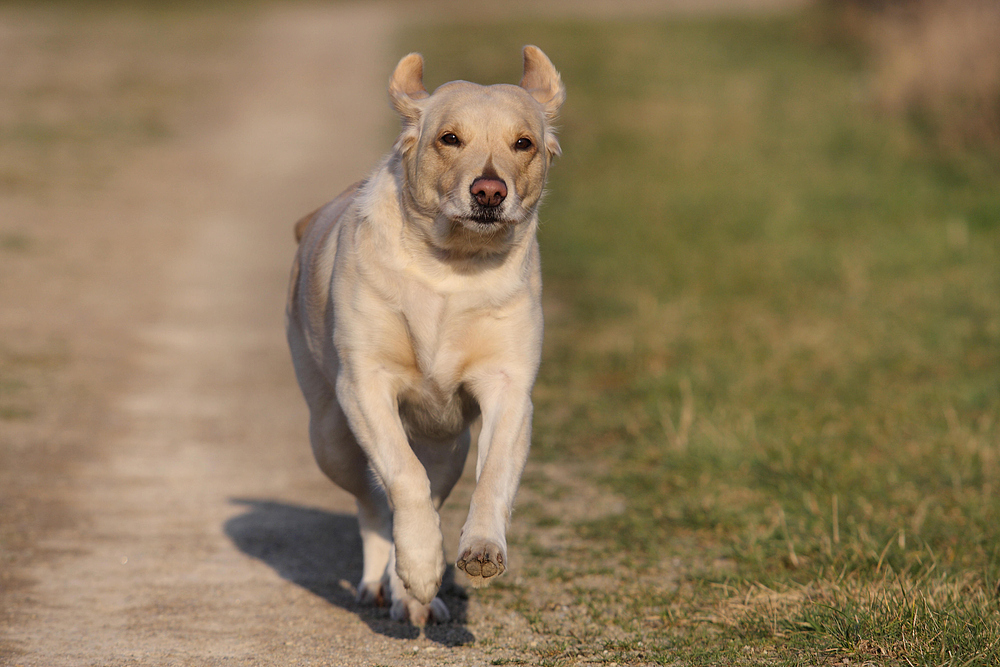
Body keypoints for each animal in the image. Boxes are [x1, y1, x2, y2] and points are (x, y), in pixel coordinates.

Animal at [286, 47, 568, 628]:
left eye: (523, 143)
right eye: (449, 138)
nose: (489, 191)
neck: (452, 265)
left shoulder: (509, 389)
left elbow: (494, 474)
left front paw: (479, 550)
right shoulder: (365, 385)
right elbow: (401, 477)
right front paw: (417, 564)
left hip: (448, 446)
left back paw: (419, 598)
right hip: (330, 436)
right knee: (374, 503)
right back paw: (385, 582)